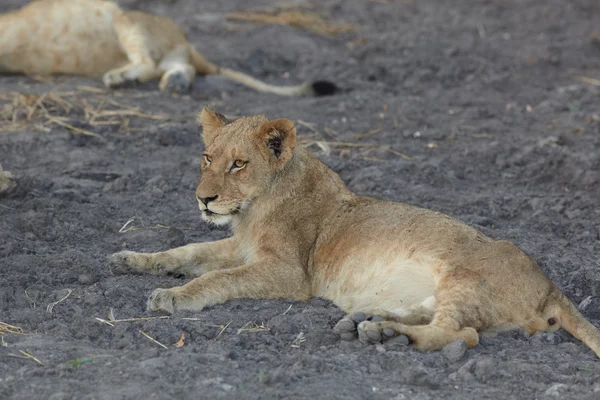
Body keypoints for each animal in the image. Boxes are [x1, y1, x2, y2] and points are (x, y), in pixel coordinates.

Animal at [109, 108, 600, 356]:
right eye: (208, 157)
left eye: (239, 164)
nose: (204, 199)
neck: (253, 208)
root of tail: (550, 286)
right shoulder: (241, 246)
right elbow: (188, 249)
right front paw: (130, 260)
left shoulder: (291, 274)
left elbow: (218, 278)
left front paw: (173, 297)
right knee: (450, 324)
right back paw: (371, 321)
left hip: (467, 278)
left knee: (460, 334)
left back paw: (387, 335)